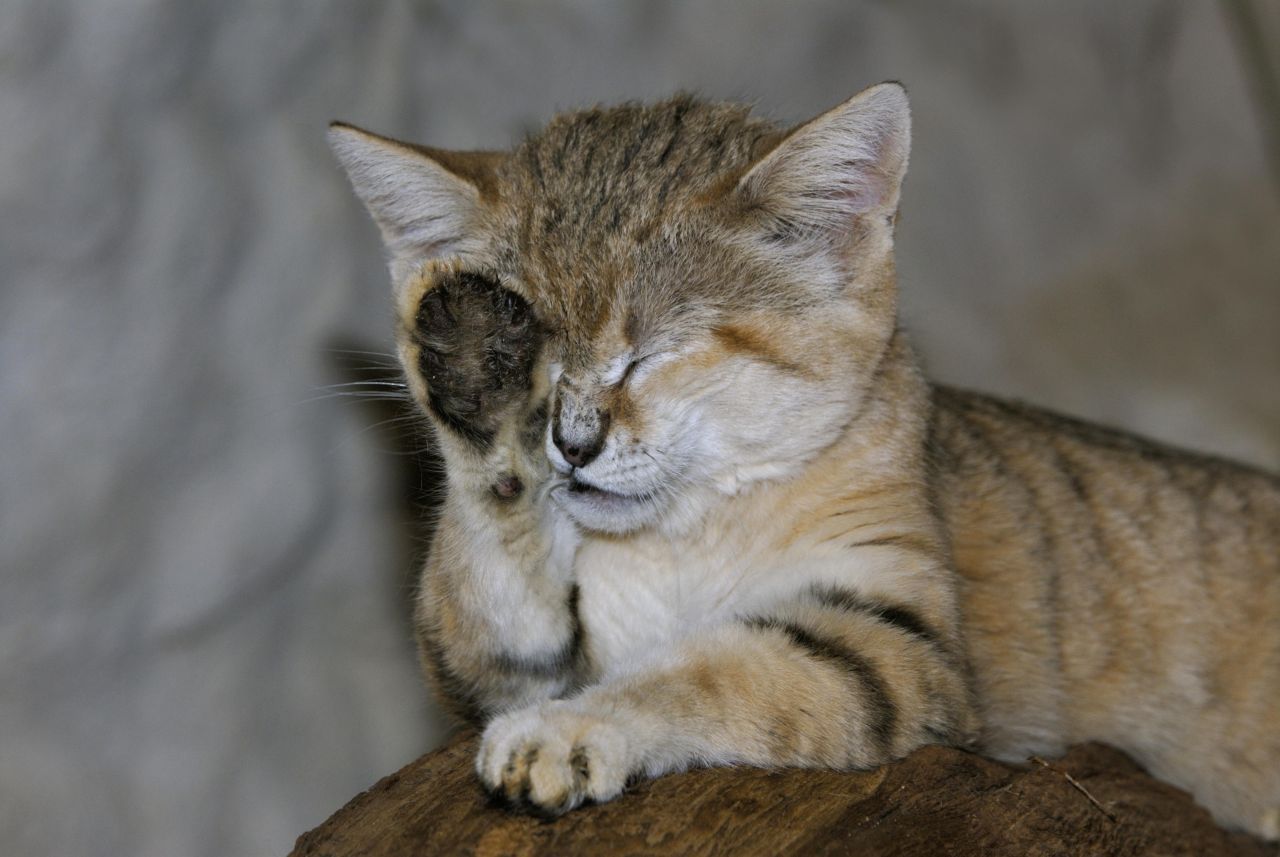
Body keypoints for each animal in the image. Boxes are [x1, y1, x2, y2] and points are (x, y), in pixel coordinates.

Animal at [332, 82, 1280, 839]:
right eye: (542, 365)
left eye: (650, 354)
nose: (572, 444)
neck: (679, 538)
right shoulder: (495, 663)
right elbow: (493, 566)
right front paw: (474, 378)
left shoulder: (894, 637)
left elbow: (715, 667)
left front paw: (567, 732)